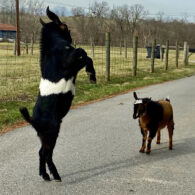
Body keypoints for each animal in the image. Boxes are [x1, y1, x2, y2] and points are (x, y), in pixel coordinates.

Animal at [19, 6, 96, 182]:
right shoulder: (70, 62)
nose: (71, 36)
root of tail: (33, 121)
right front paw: (91, 75)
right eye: (65, 26)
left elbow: (86, 56)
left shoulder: (75, 65)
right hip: (52, 133)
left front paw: (92, 75)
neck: (55, 45)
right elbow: (83, 52)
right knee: (47, 154)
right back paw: (55, 175)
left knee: (41, 152)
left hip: (45, 136)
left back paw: (45, 175)